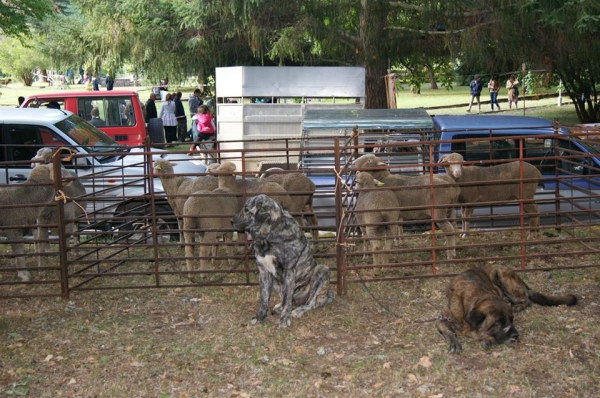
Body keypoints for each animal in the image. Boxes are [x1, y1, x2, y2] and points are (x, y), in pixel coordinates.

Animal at [230, 194, 332, 328]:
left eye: (247, 209)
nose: (231, 221)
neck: (268, 236)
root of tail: (327, 295)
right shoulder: (264, 272)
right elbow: (264, 298)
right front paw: (260, 317)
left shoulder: (289, 271)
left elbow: (287, 299)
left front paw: (283, 320)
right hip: (276, 281)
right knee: (290, 301)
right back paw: (281, 307)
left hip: (322, 270)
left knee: (310, 302)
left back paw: (299, 310)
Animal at [436, 266, 576, 352]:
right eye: (498, 322)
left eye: (512, 320)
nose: (516, 336)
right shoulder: (443, 317)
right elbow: (448, 331)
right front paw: (454, 342)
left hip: (500, 275)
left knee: (526, 299)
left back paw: (517, 305)